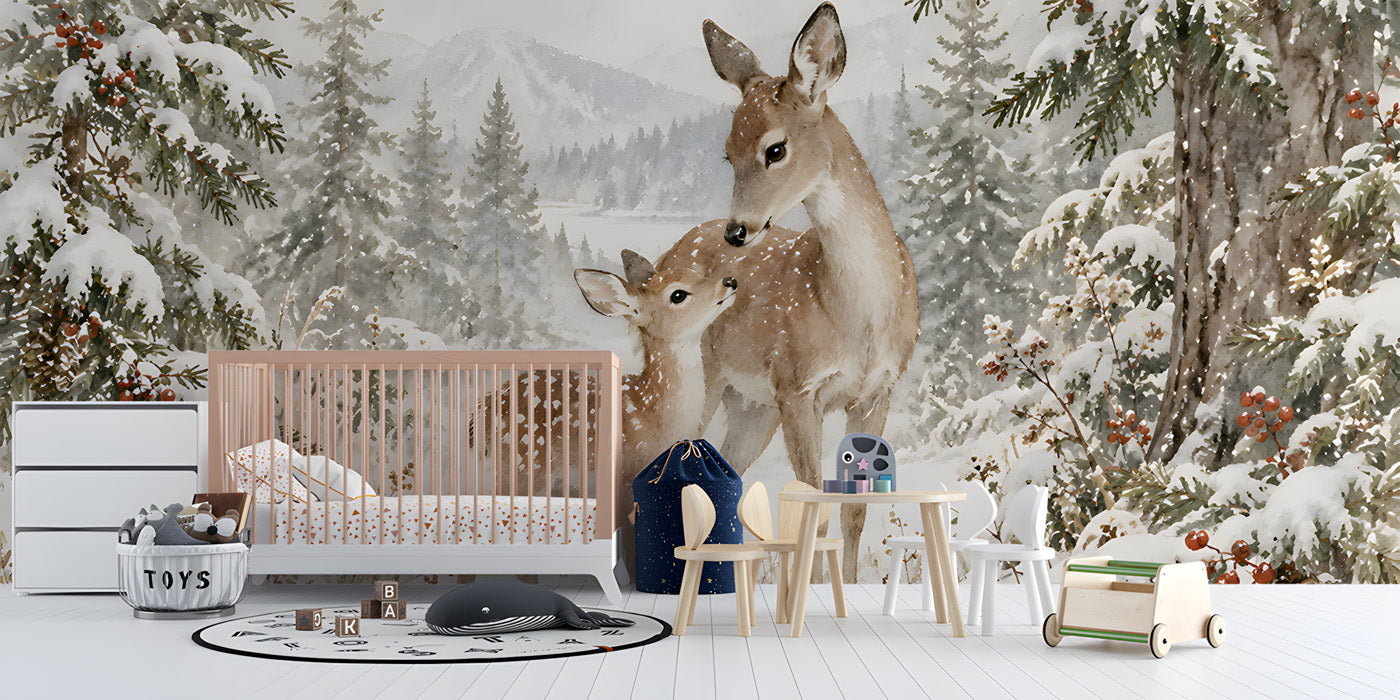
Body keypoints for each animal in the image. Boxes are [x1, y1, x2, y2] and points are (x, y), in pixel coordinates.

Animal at [674, 3, 919, 582]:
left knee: (726, 476)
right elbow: (815, 511)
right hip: (706, 382)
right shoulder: (797, 386)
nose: (737, 231)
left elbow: (853, 513)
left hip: (751, 407)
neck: (859, 315)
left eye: (775, 148)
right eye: (727, 153)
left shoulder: (877, 391)